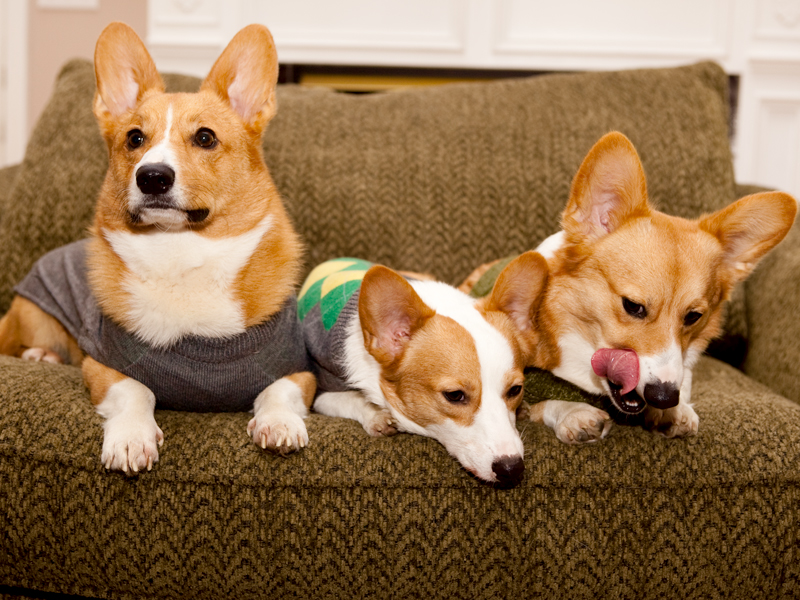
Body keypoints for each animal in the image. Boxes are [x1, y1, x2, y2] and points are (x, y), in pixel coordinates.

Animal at [0, 22, 316, 474]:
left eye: (205, 137)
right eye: (135, 138)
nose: (151, 176)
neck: (178, 250)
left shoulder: (299, 370)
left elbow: (278, 391)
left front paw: (279, 423)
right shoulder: (103, 365)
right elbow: (136, 390)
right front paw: (132, 437)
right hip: (34, 316)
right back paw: (41, 356)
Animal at [296, 253, 548, 488]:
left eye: (515, 390)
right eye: (454, 395)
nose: (512, 469)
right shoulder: (322, 392)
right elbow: (351, 399)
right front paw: (376, 414)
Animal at [460, 131, 796, 442]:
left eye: (693, 317)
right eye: (633, 306)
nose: (664, 397)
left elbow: (684, 377)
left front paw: (675, 410)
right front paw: (574, 412)